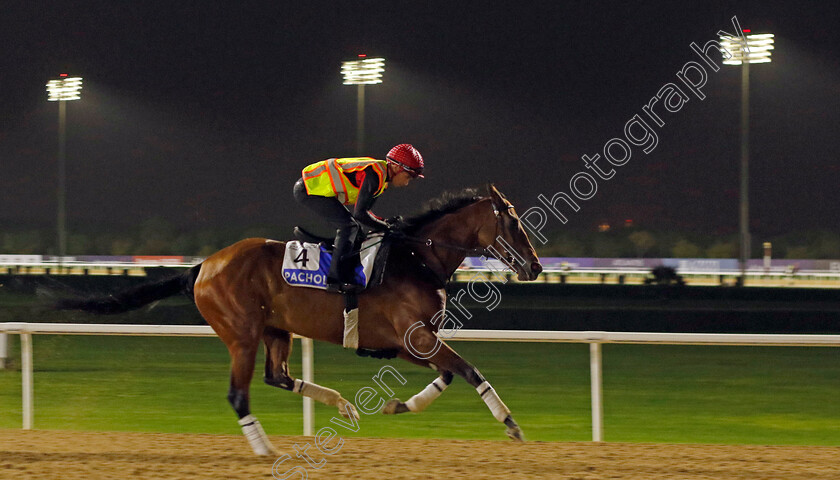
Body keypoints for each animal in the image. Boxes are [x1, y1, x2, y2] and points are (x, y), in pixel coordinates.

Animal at [57, 183, 544, 454]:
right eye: (513, 222)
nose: (536, 267)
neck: (416, 258)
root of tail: (203, 266)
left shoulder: (409, 342)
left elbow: (446, 375)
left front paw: (397, 405)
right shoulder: (416, 336)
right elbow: (469, 370)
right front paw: (512, 425)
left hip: (276, 329)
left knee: (278, 376)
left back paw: (342, 405)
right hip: (242, 335)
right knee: (239, 394)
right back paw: (264, 448)